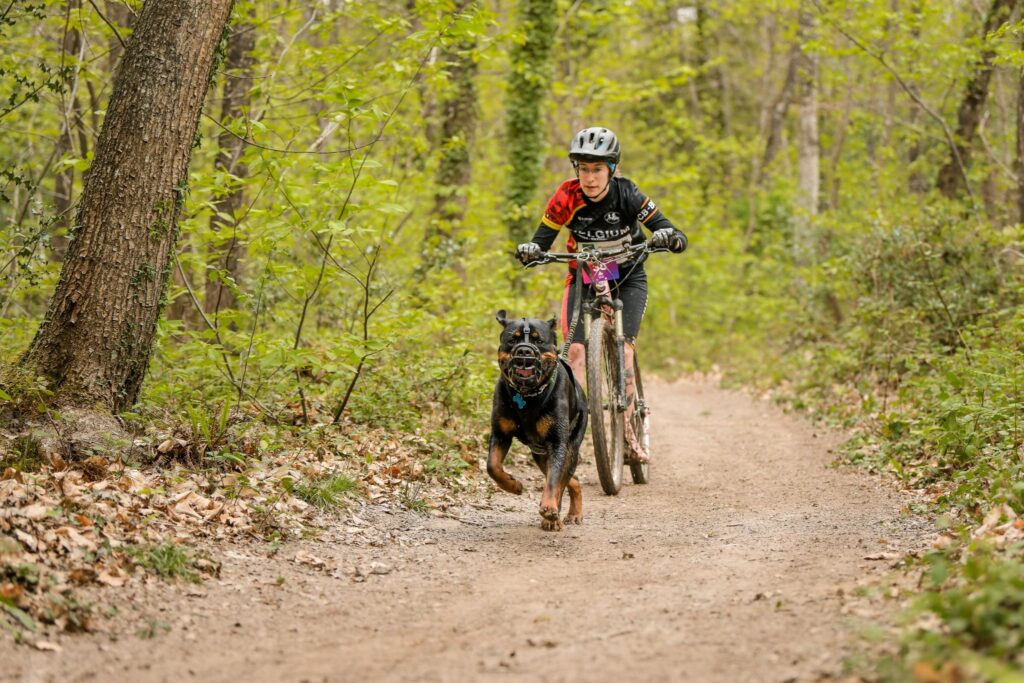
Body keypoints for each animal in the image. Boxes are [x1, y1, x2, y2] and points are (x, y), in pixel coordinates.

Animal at [485, 307, 589, 532]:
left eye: (538, 340)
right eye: (513, 339)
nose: (525, 351)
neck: (527, 396)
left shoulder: (557, 443)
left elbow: (554, 482)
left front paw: (549, 508)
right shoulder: (500, 434)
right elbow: (493, 466)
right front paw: (513, 485)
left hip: (571, 447)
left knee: (563, 478)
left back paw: (561, 515)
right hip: (540, 455)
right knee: (574, 479)